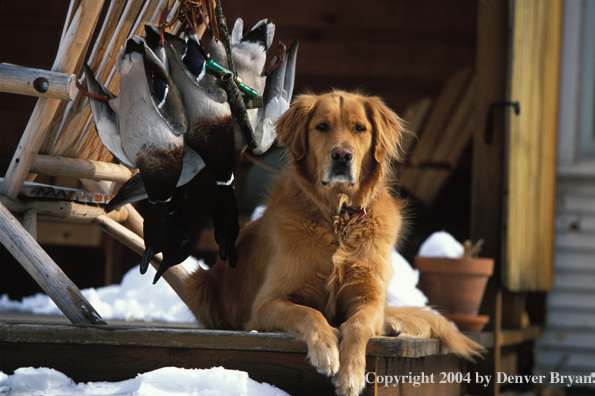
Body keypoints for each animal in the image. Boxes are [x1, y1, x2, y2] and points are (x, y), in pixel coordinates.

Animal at [186, 90, 484, 396]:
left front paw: (351, 373)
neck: (340, 219)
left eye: (359, 128)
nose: (342, 155)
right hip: (200, 285)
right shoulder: (266, 303)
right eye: (322, 127)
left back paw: (392, 324)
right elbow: (309, 313)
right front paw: (327, 350)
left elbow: (359, 324)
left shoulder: (368, 297)